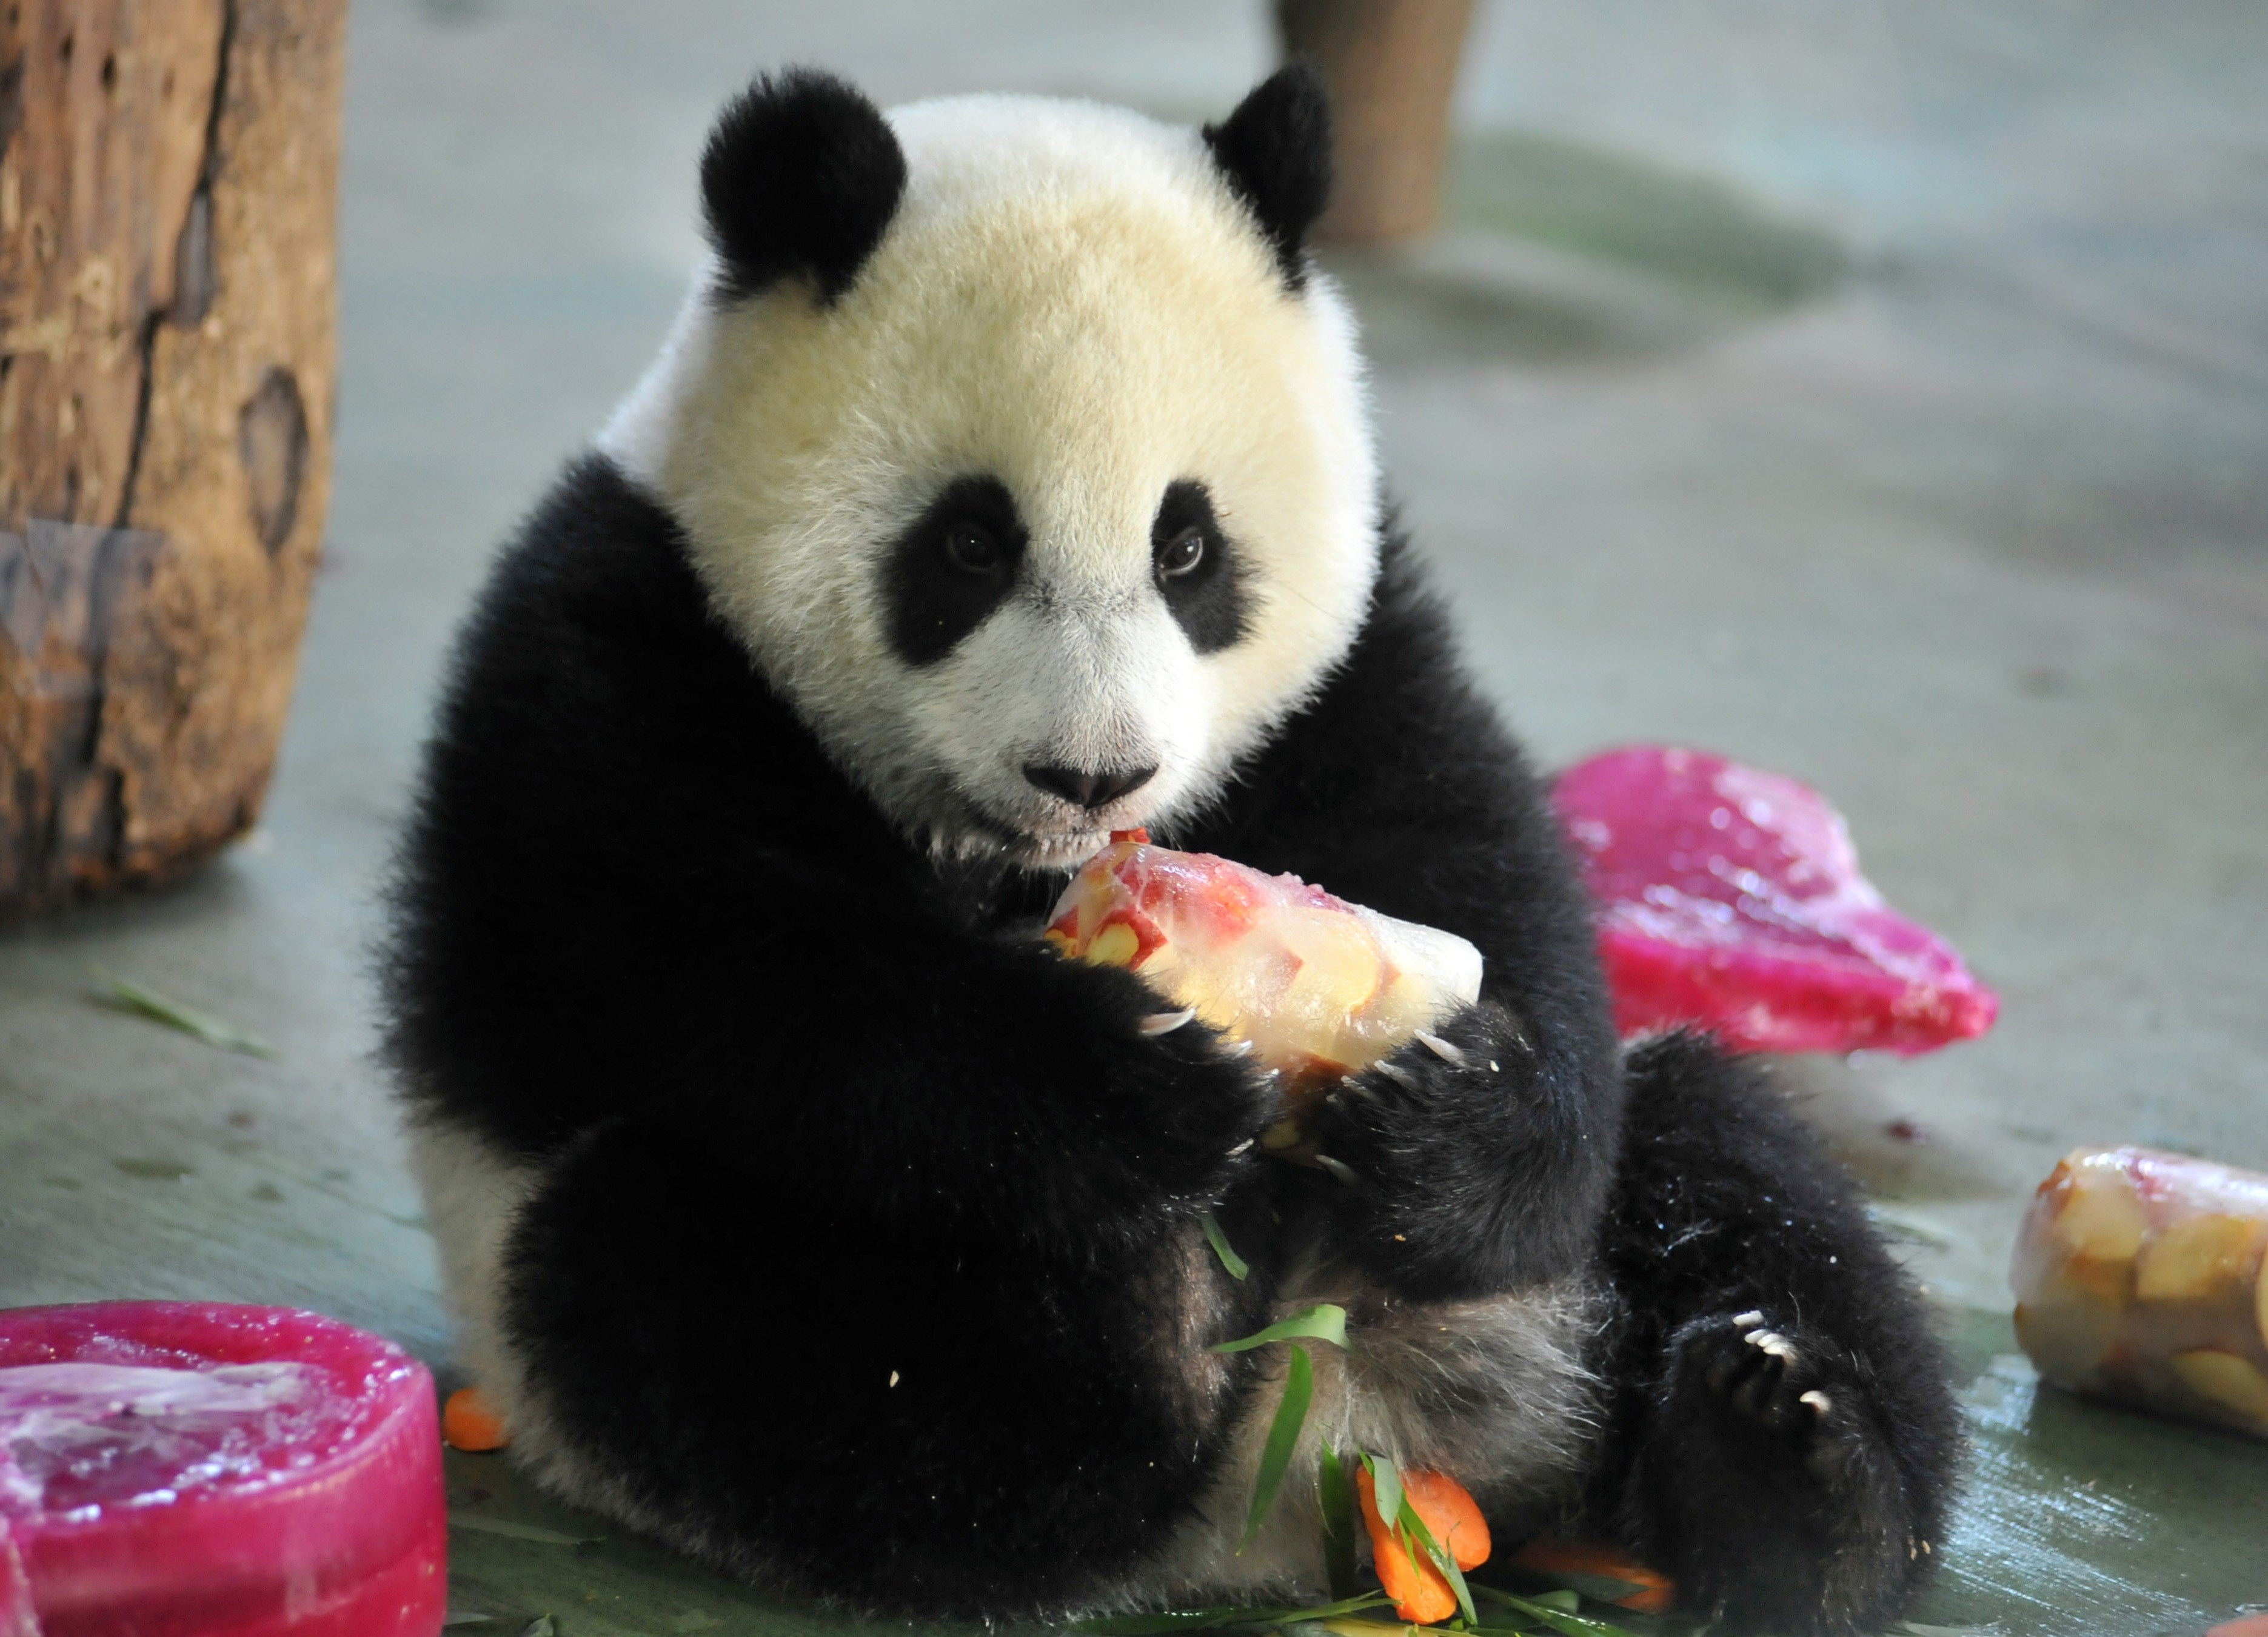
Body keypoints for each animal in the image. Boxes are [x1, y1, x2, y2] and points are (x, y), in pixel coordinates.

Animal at [385, 64, 1950, 1632]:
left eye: (1186, 550)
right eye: (969, 545)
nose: (1094, 773)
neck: (1015, 854)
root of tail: (1301, 1463)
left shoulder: (1356, 659)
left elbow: (1482, 855)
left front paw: (1447, 1113)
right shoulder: (623, 645)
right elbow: (715, 969)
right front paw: (1131, 1087)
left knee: (1724, 1150)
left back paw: (1786, 1462)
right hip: (625, 1317)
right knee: (745, 1318)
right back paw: (1153, 1320)